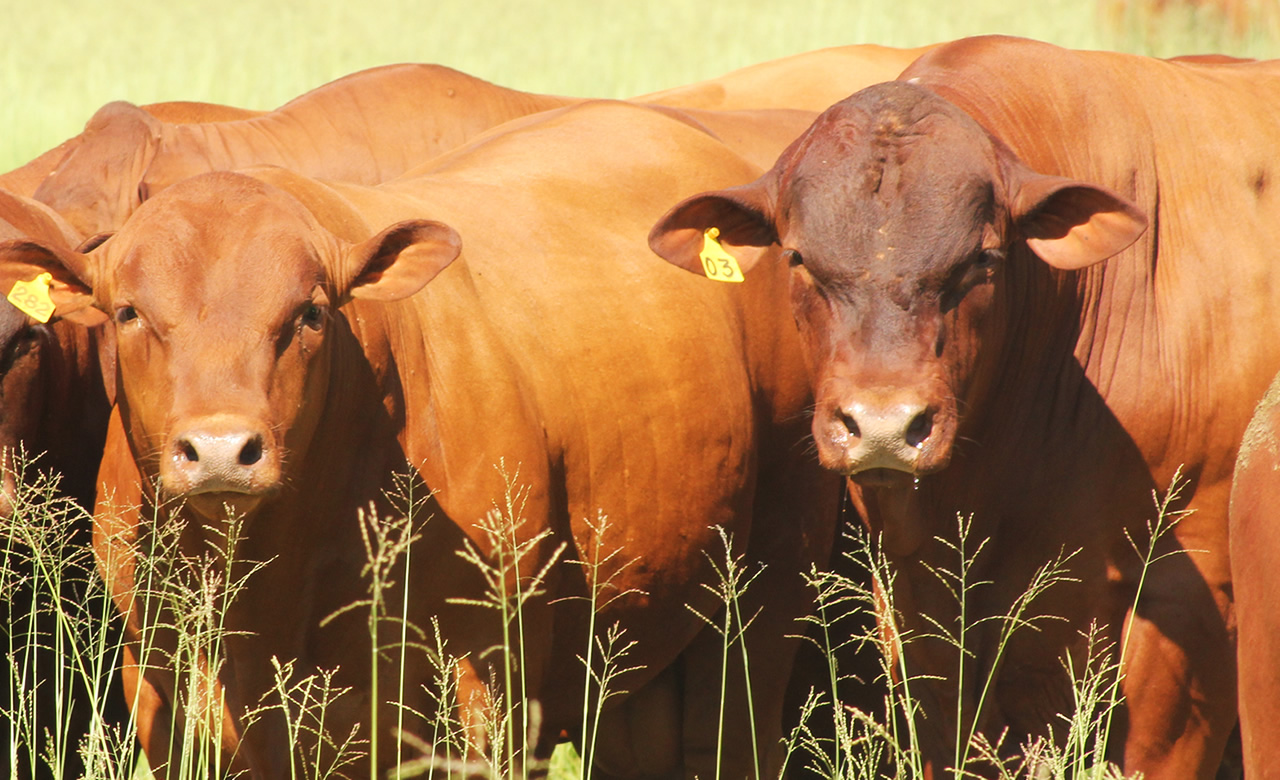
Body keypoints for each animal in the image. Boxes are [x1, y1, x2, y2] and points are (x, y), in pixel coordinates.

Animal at [0, 100, 844, 773]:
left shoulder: (485, 687)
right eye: (129, 312)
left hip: (764, 595)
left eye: (309, 312)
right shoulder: (163, 690)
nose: (220, 451)